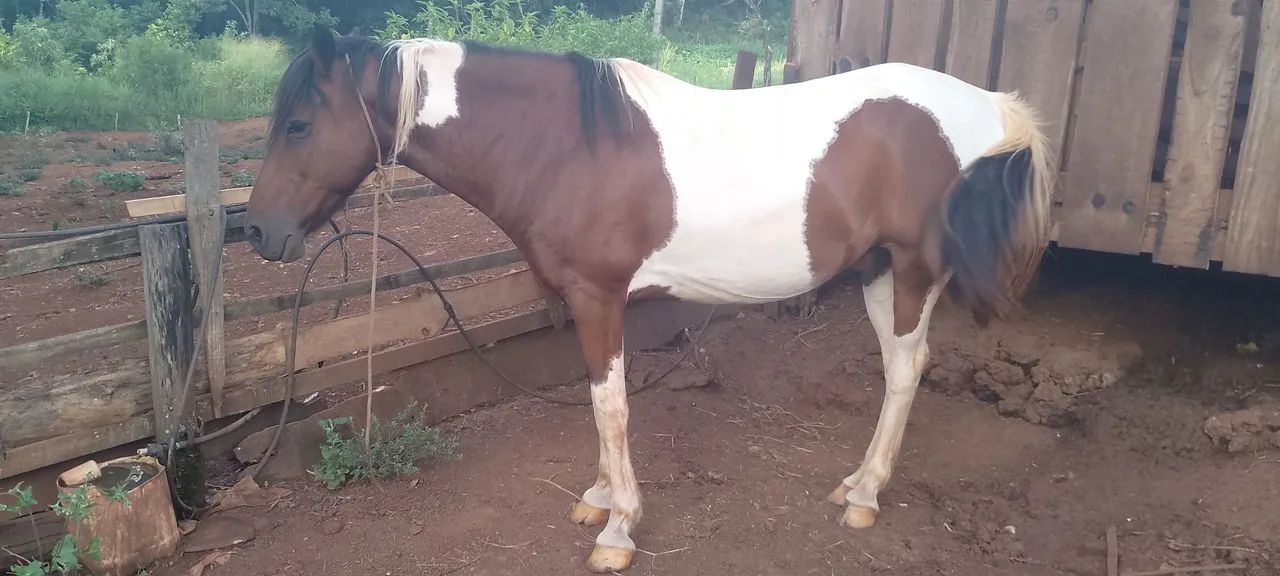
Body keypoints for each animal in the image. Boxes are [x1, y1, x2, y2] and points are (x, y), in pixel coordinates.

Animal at [243, 28, 1054, 573]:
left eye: (299, 123)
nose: (256, 231)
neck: (569, 144)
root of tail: (987, 104)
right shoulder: (592, 304)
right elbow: (600, 401)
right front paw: (600, 498)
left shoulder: (598, 296)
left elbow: (611, 405)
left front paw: (618, 529)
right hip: (881, 269)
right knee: (901, 368)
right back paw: (855, 483)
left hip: (914, 271)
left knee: (905, 371)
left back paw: (867, 496)